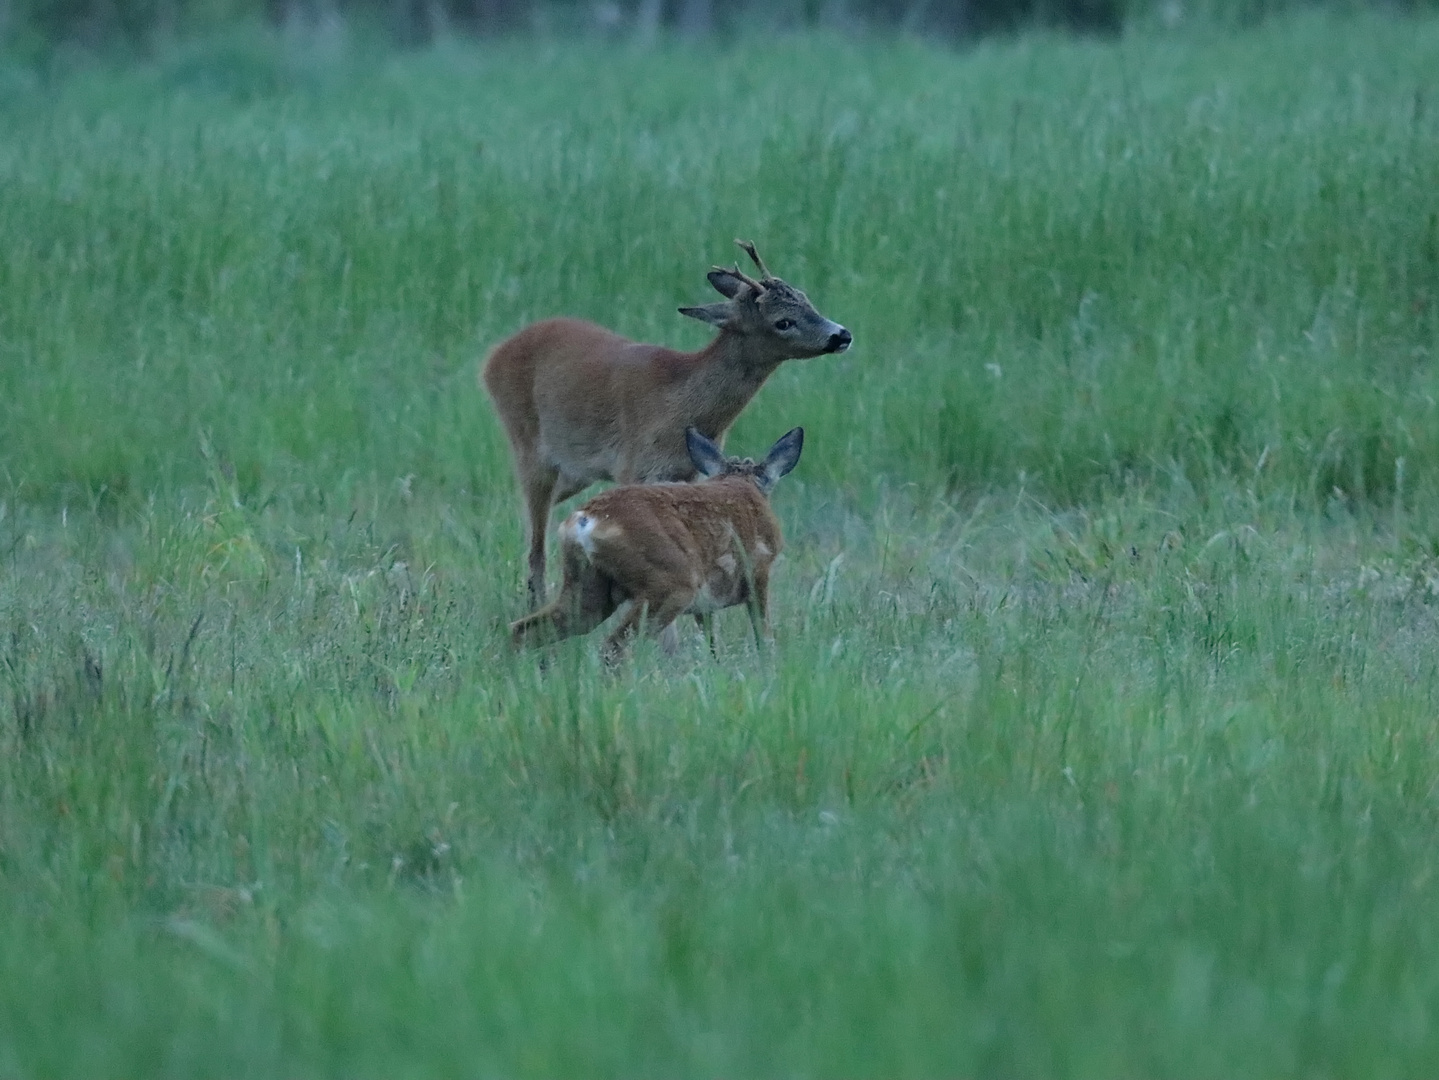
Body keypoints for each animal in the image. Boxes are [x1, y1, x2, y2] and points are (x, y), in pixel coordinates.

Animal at [477, 240, 846, 609]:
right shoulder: (632, 466)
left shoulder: (689, 473)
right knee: (535, 543)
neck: (679, 403)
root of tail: (494, 356)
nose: (842, 335)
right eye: (783, 321)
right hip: (529, 445)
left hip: (574, 471)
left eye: (806, 298)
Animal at [506, 425, 805, 664]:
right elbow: (763, 634)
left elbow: (711, 642)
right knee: (613, 645)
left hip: (587, 588)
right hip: (670, 582)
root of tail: (585, 521)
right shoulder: (759, 572)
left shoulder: (706, 603)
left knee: (523, 629)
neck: (742, 482)